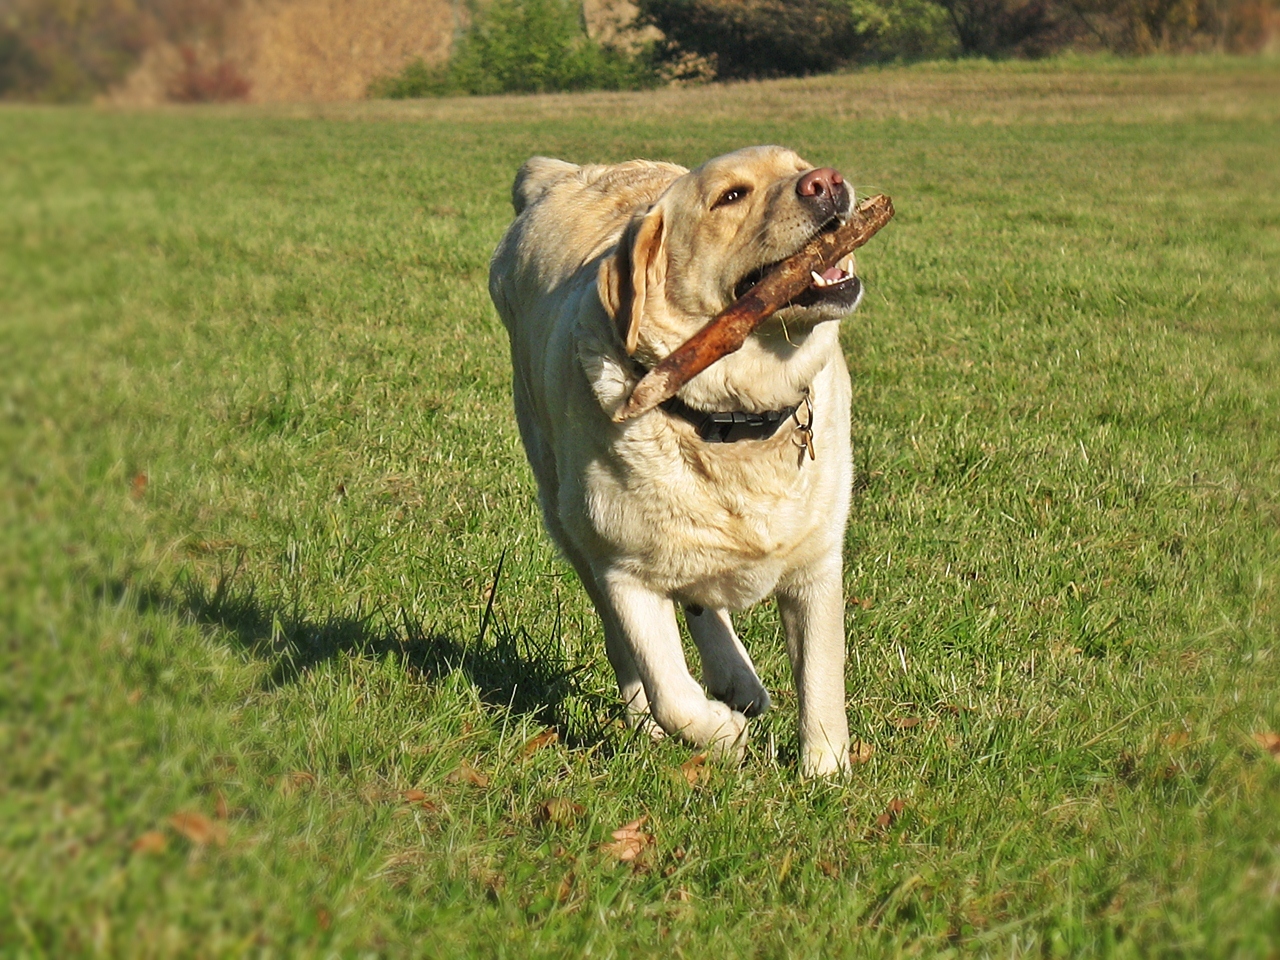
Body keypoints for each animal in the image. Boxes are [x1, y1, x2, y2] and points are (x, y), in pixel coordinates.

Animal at [483, 146, 865, 778]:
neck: (732, 422)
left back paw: (738, 679)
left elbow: (822, 677)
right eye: (731, 196)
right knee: (631, 650)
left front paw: (825, 774)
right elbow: (671, 692)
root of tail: (561, 174)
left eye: (800, 164)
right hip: (569, 520)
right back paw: (661, 718)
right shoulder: (623, 571)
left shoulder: (816, 564)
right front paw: (723, 733)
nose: (826, 182)